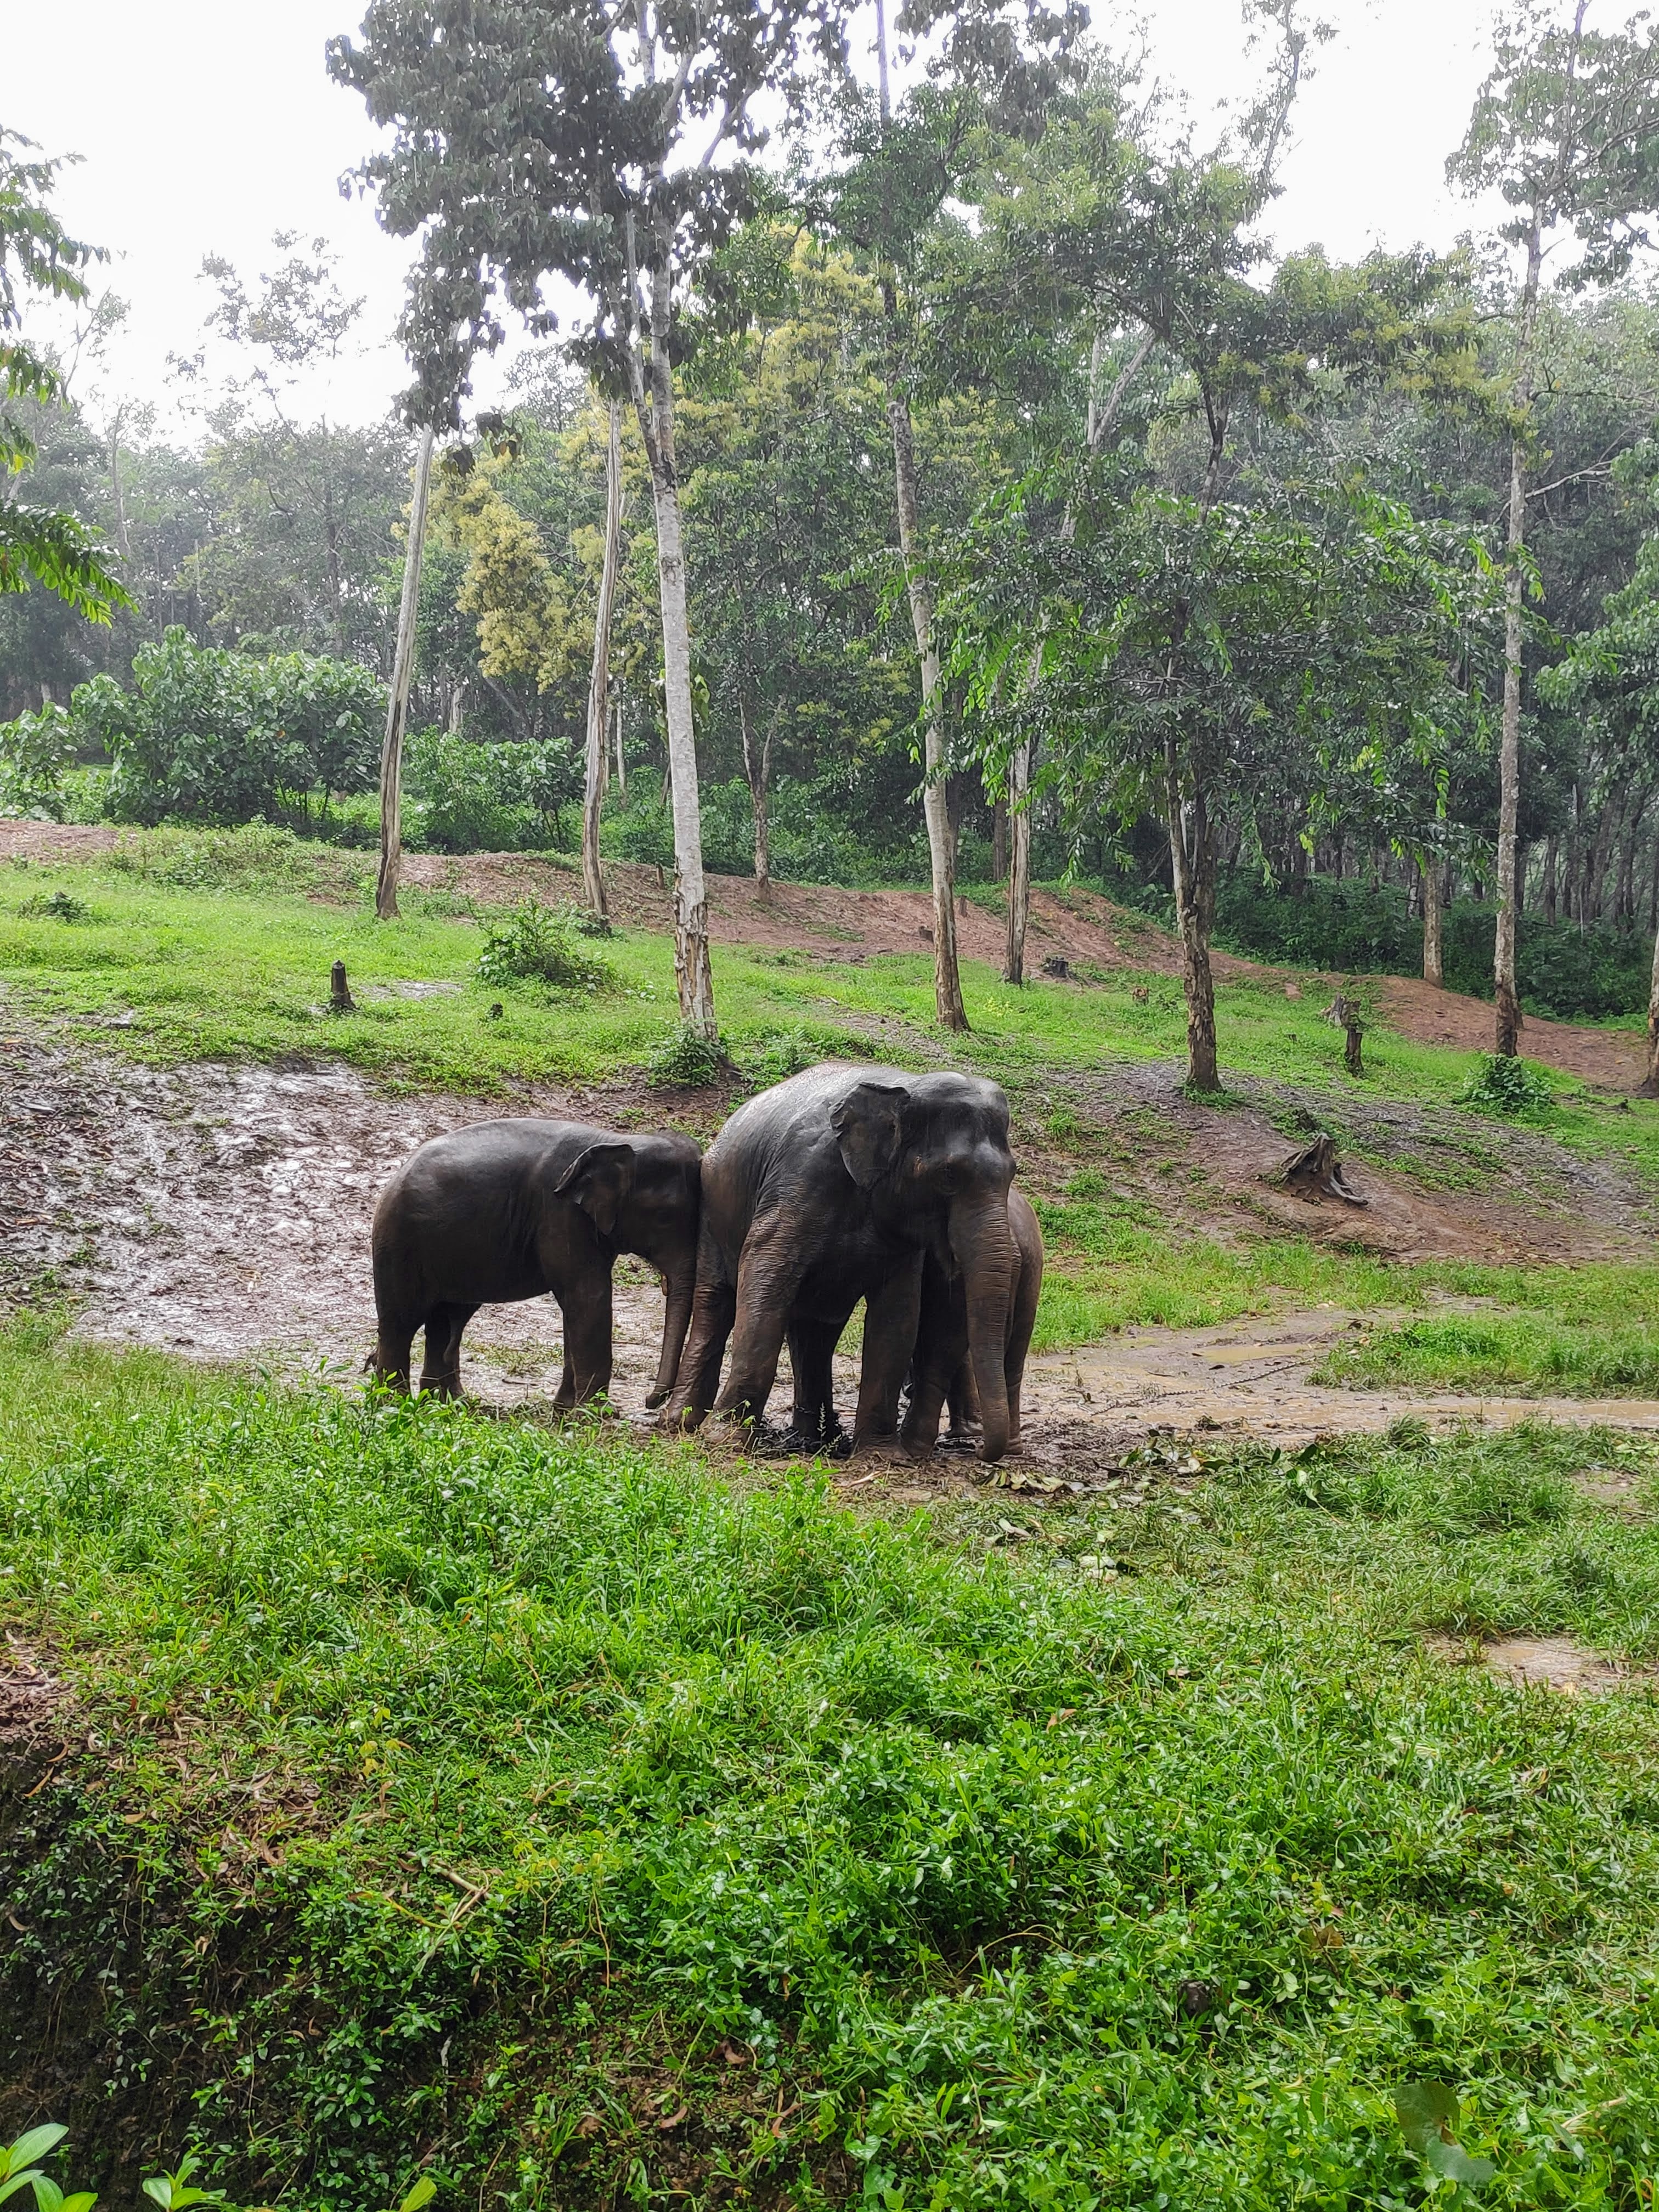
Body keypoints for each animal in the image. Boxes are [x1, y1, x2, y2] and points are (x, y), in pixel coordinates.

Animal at [374, 1115, 703, 1407]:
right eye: (665, 1217)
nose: (649, 1401)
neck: (622, 1140)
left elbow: (576, 1304)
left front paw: (565, 1409)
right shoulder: (560, 1213)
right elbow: (589, 1296)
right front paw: (594, 1414)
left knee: (446, 1320)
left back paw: (448, 1404)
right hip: (398, 1242)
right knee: (400, 1323)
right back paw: (394, 1405)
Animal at [668, 1062, 1022, 1460]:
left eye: (1012, 1173)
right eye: (948, 1176)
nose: (979, 1450)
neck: (906, 1087)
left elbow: (898, 1314)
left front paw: (882, 1455)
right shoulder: (800, 1179)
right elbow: (764, 1277)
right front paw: (726, 1440)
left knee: (815, 1331)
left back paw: (816, 1439)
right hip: (714, 1210)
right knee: (716, 1302)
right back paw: (682, 1423)